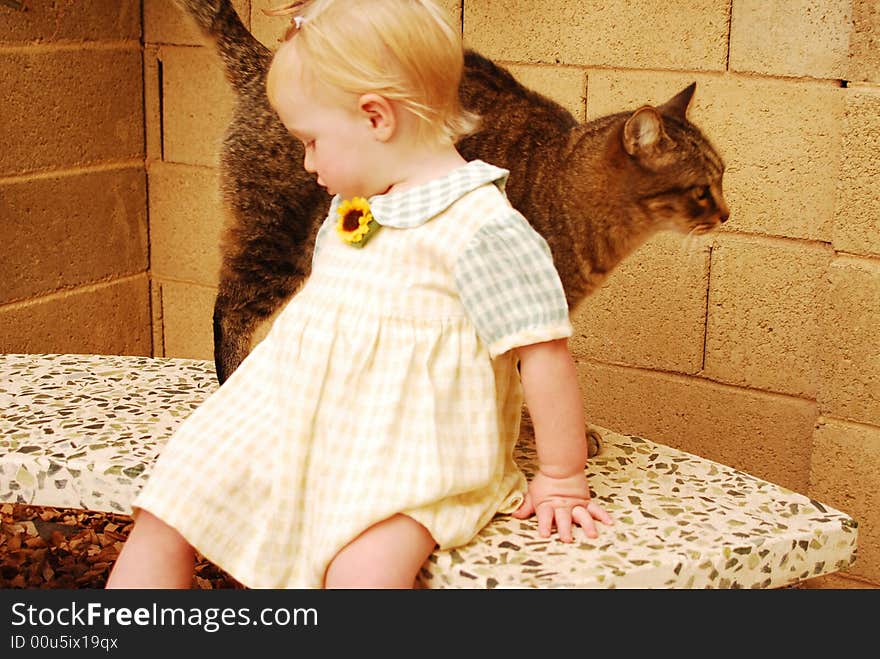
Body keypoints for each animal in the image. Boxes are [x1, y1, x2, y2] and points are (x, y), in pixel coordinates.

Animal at [168, 2, 724, 428]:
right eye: (702, 190)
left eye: (722, 177)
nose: (725, 213)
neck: (565, 180)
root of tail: (263, 62)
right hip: (276, 239)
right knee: (229, 310)